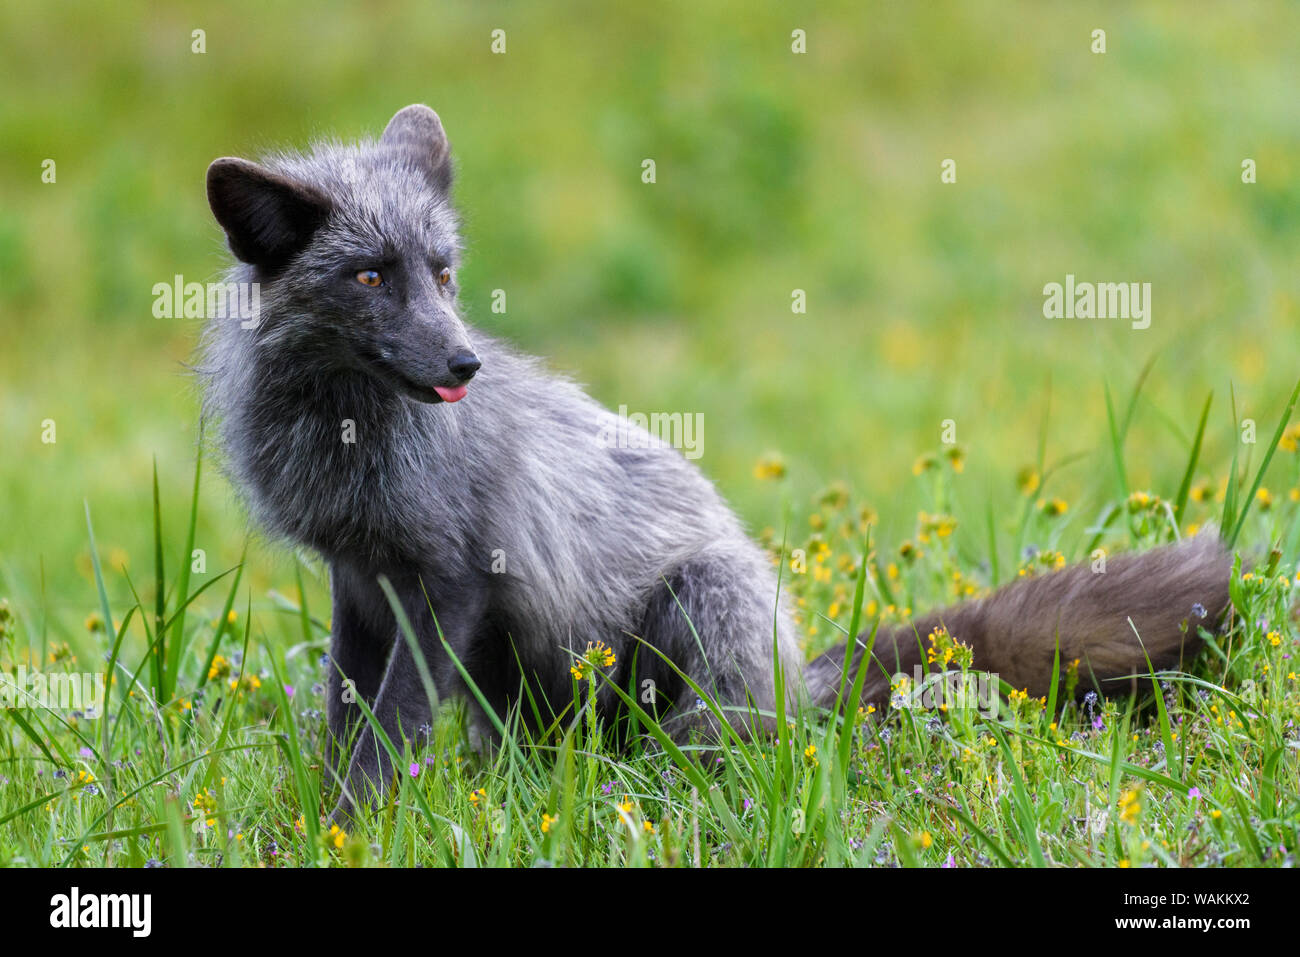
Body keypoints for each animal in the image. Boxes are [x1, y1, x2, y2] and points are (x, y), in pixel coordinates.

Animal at [200, 104, 1233, 820]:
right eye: (372, 275)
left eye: (444, 273)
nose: (465, 364)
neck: (343, 439)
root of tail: (797, 679)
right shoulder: (361, 583)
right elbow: (350, 718)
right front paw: (332, 819)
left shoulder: (447, 580)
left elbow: (391, 730)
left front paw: (361, 822)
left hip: (699, 606)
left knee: (713, 747)